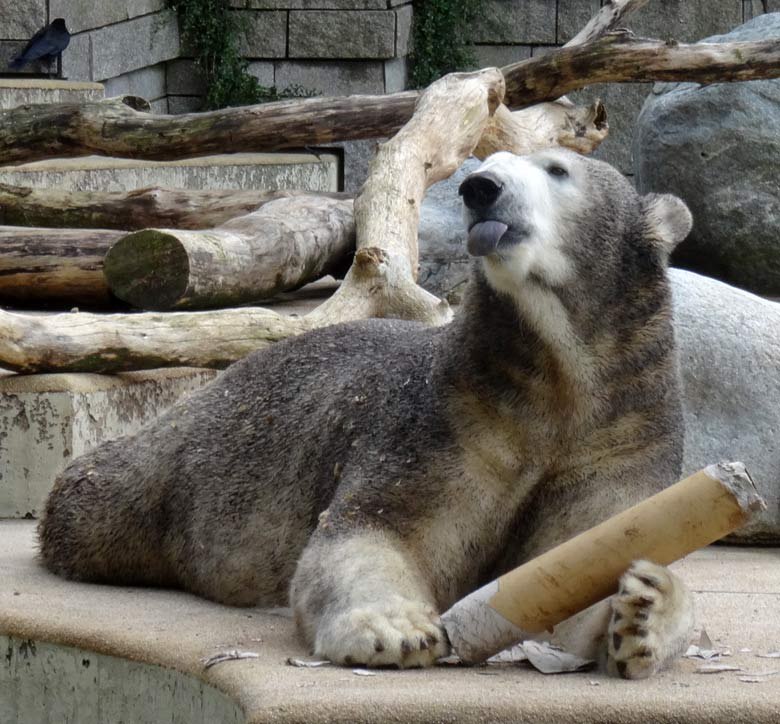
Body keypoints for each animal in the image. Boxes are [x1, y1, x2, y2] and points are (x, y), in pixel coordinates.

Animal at [38, 148, 696, 680]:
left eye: (558, 169)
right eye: (490, 160)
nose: (479, 187)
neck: (555, 382)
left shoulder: (622, 432)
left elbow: (587, 551)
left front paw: (645, 611)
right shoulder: (445, 422)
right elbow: (370, 529)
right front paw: (394, 630)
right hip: (178, 458)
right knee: (97, 496)